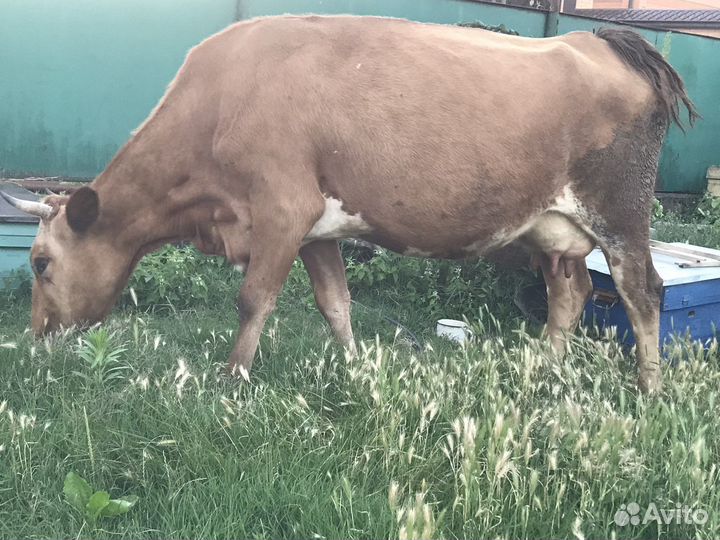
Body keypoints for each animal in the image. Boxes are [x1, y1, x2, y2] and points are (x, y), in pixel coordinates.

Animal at [2, 15, 697, 393]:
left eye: (40, 264)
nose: (36, 339)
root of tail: (601, 40)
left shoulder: (282, 207)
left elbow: (253, 298)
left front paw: (232, 380)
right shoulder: (317, 229)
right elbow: (335, 303)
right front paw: (357, 370)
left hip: (622, 211)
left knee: (643, 291)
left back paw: (649, 388)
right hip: (553, 228)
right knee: (570, 293)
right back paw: (541, 371)